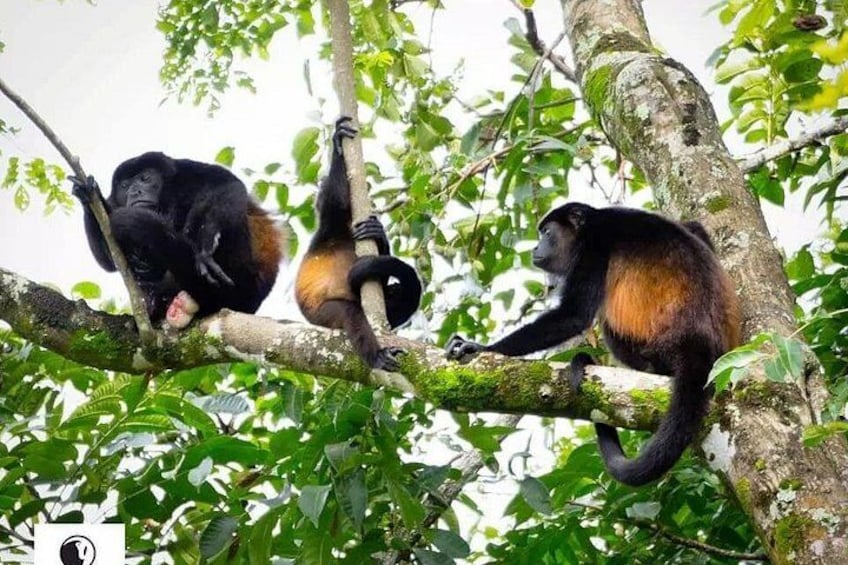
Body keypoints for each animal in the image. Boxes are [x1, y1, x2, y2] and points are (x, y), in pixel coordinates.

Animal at [71, 152, 285, 328]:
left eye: (145, 178)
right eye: (125, 186)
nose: (134, 192)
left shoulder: (187, 170)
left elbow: (228, 184)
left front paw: (205, 243)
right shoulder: (114, 202)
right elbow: (108, 260)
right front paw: (87, 193)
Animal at [295, 117, 422, 371]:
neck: (343, 234)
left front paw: (378, 233)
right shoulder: (329, 224)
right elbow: (335, 198)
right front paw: (338, 141)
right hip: (322, 314)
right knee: (350, 312)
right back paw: (376, 355)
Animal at [445, 202, 741, 486]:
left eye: (547, 233)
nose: (535, 248)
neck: (588, 225)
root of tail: (698, 341)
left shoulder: (594, 247)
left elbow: (573, 315)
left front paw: (481, 348)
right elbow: (694, 226)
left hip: (655, 348)